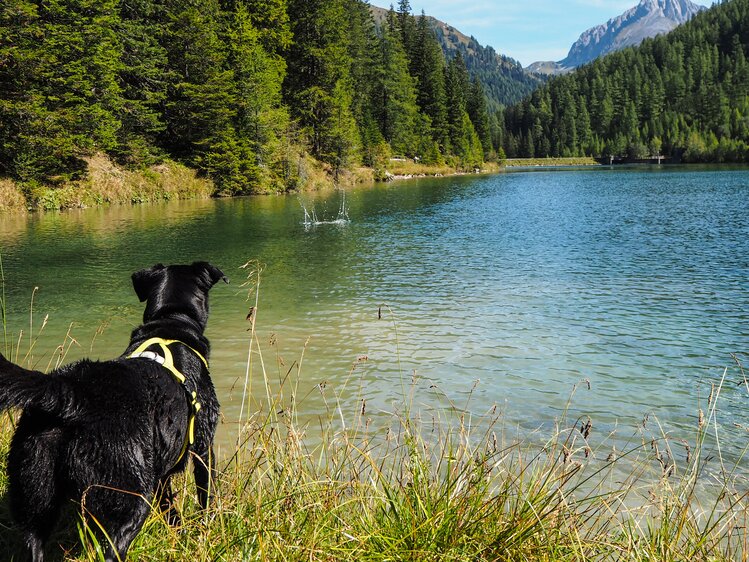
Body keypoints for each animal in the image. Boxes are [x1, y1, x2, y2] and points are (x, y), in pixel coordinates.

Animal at [0, 262, 225, 560]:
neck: (171, 324)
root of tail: (70, 393)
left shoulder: (162, 471)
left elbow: (170, 510)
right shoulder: (202, 447)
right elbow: (206, 497)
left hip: (35, 493)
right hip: (129, 497)